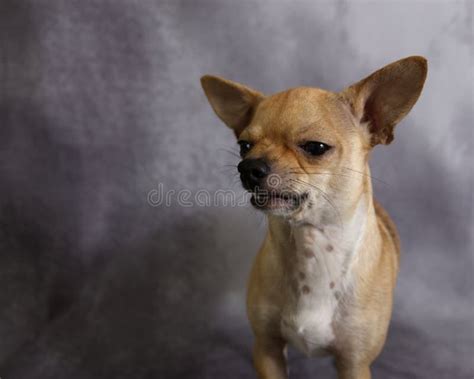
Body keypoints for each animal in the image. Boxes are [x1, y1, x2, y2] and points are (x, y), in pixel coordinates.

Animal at [199, 57, 426, 379]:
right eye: (244, 146)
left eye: (315, 147)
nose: (248, 167)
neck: (311, 244)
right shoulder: (266, 349)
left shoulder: (354, 364)